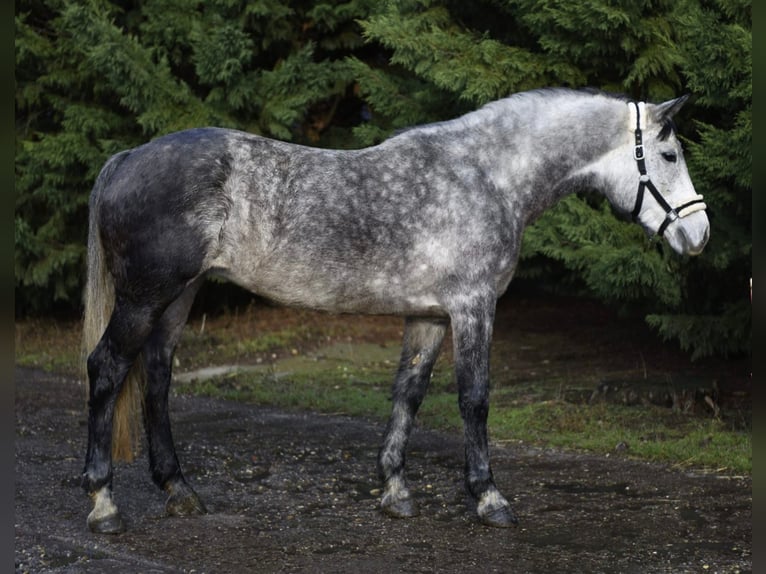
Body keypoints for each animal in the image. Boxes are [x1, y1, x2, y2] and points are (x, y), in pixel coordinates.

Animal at [81, 87, 709, 534]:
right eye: (669, 154)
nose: (699, 234)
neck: (488, 176)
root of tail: (126, 158)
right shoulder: (473, 307)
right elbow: (474, 399)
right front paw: (489, 498)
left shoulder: (429, 316)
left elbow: (408, 392)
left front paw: (395, 492)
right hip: (144, 298)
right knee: (108, 369)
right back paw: (103, 503)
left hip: (178, 298)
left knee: (156, 378)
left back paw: (179, 490)